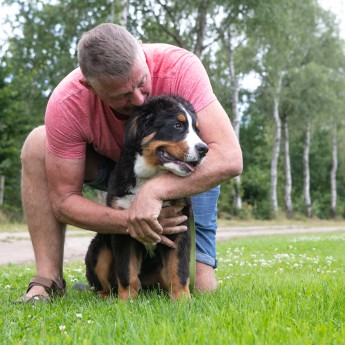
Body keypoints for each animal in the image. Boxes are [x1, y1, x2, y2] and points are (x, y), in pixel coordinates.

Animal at [84, 94, 208, 298]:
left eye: (197, 130)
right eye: (177, 125)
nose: (204, 149)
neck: (150, 178)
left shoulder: (180, 228)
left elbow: (179, 270)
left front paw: (183, 300)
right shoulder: (124, 231)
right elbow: (127, 273)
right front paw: (126, 301)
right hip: (100, 247)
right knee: (104, 285)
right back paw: (107, 298)